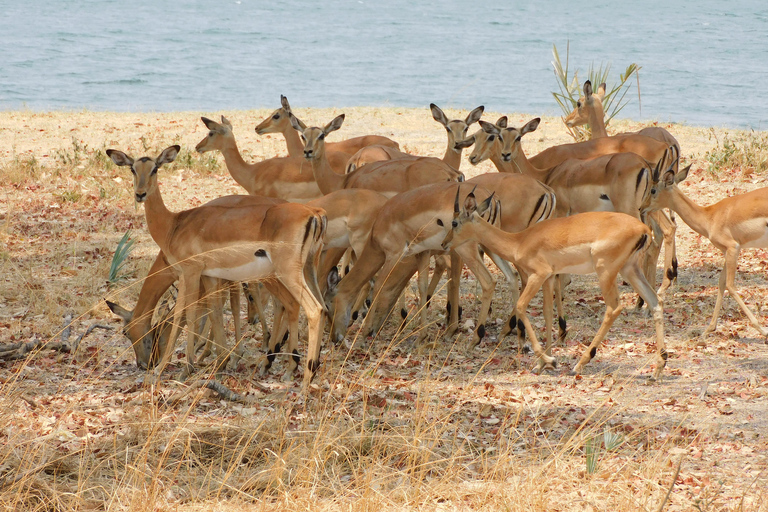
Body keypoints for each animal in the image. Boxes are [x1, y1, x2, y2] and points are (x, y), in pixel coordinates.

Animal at [106, 145, 328, 388]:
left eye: (155, 168)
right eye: (133, 169)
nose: (140, 194)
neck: (174, 225)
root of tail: (314, 214)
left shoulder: (190, 273)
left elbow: (186, 315)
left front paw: (179, 368)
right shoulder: (210, 276)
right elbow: (216, 312)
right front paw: (220, 363)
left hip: (286, 274)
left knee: (313, 309)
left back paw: (303, 377)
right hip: (306, 270)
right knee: (318, 306)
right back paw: (301, 367)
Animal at [444, 192, 664, 380]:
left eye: (454, 222)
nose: (445, 243)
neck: (519, 242)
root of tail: (643, 230)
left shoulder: (538, 275)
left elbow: (521, 306)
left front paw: (550, 360)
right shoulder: (549, 278)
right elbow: (548, 313)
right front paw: (542, 364)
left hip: (606, 272)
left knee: (613, 308)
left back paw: (578, 365)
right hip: (630, 270)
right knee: (655, 302)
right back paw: (657, 370)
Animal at [640, 165, 768, 340]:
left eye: (653, 190)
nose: (641, 208)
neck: (709, 216)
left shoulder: (732, 248)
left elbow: (730, 285)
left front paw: (762, 329)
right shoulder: (728, 251)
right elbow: (721, 283)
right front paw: (709, 329)